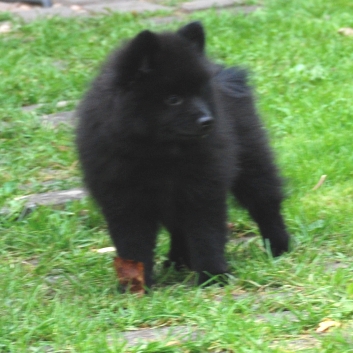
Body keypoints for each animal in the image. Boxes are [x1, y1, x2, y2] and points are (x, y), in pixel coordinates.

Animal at [75, 21, 288, 288]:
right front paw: (135, 285)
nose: (208, 121)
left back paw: (279, 247)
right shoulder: (124, 199)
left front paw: (212, 276)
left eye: (199, 93)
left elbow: (206, 235)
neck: (158, 154)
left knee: (265, 203)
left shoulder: (203, 189)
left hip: (252, 162)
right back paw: (177, 262)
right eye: (173, 99)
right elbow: (133, 244)